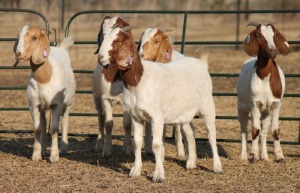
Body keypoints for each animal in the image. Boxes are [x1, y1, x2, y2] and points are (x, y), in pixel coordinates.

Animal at [14, 24, 77, 162]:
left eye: (34, 37)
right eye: (18, 36)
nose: (18, 54)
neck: (45, 78)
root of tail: (61, 48)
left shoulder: (57, 104)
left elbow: (54, 129)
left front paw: (54, 156)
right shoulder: (34, 105)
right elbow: (37, 129)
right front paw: (36, 155)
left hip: (68, 102)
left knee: (65, 120)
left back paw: (64, 148)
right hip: (42, 107)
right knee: (43, 124)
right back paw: (43, 149)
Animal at [99, 25, 223, 182]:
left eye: (118, 40)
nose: (100, 56)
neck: (139, 80)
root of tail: (201, 63)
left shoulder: (156, 117)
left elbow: (157, 145)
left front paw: (158, 175)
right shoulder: (136, 116)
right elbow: (137, 142)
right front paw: (135, 170)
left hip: (207, 106)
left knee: (211, 135)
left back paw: (217, 167)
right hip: (185, 113)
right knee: (190, 132)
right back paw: (191, 163)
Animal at [237, 21, 288, 163]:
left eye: (274, 34)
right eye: (258, 36)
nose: (272, 50)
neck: (265, 77)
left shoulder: (276, 104)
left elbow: (275, 130)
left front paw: (280, 156)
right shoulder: (255, 104)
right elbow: (255, 130)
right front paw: (253, 156)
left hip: (266, 110)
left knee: (264, 130)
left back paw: (264, 156)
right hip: (241, 107)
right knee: (244, 129)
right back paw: (243, 156)